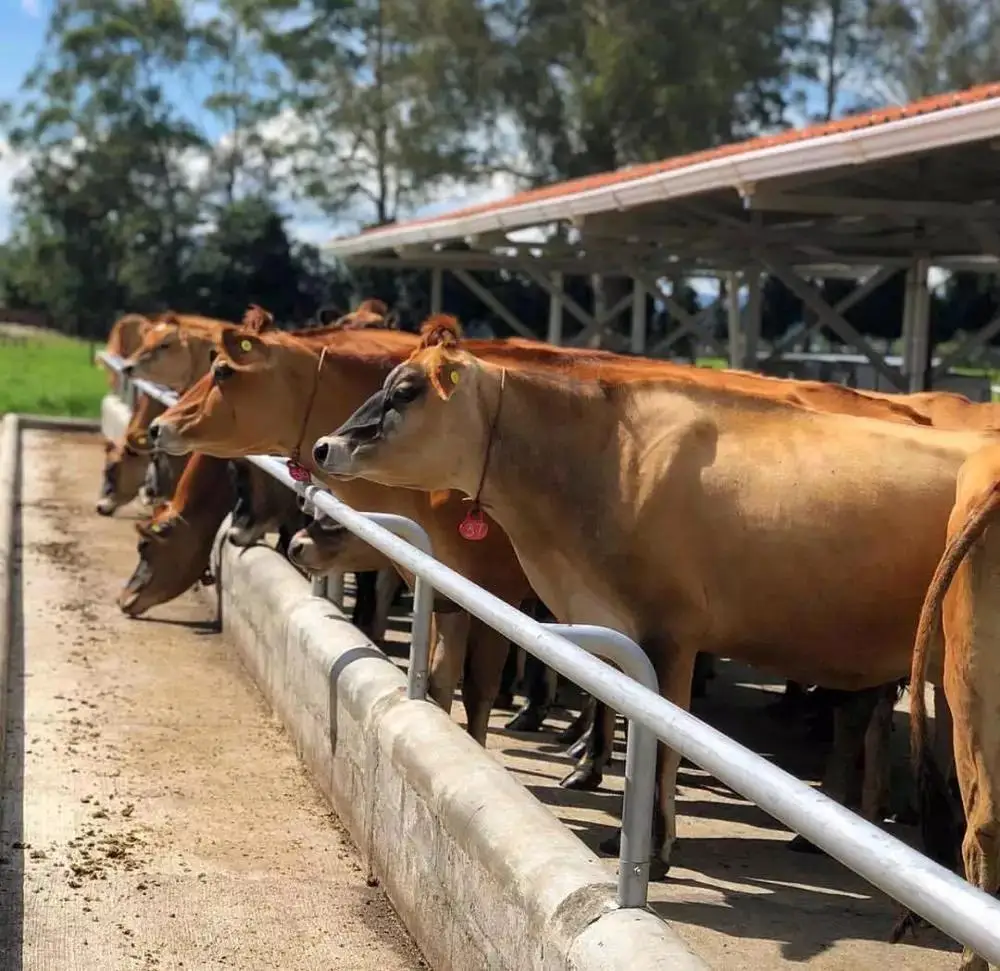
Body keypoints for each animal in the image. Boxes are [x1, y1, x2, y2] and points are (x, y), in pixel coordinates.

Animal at [311, 315, 1000, 879]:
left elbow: (664, 736)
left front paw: (655, 845)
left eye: (406, 391)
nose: (323, 446)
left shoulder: (671, 635)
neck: (602, 464)